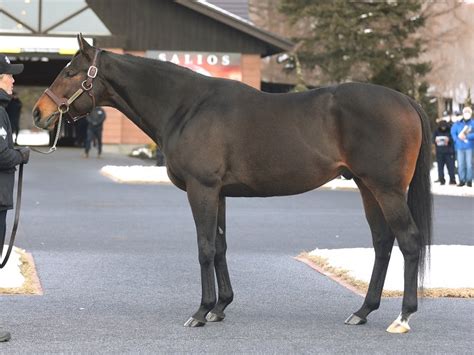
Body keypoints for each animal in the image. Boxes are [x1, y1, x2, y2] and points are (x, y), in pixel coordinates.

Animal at [32, 34, 434, 336]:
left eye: (70, 72)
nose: (38, 112)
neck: (187, 106)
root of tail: (405, 100)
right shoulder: (219, 193)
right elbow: (221, 246)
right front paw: (221, 307)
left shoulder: (203, 189)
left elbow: (205, 248)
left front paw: (201, 311)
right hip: (367, 187)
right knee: (382, 243)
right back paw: (362, 311)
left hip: (386, 189)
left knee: (408, 240)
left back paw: (402, 317)